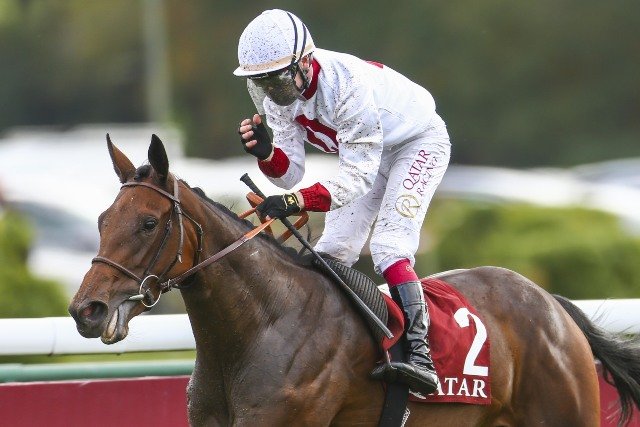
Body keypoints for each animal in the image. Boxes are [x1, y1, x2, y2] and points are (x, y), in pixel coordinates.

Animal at [69, 134, 640, 426]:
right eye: (102, 219)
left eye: (148, 223)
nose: (85, 310)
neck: (259, 326)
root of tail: (552, 305)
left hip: (564, 413)